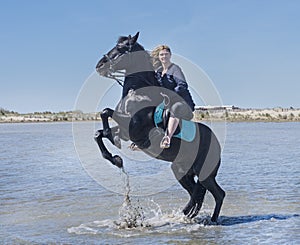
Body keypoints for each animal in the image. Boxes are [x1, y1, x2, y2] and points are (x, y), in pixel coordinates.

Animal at [94, 32, 225, 222]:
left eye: (120, 49)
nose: (99, 66)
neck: (138, 93)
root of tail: (218, 145)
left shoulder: (132, 127)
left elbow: (105, 112)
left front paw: (113, 146)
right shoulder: (126, 131)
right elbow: (98, 133)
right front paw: (115, 157)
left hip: (204, 173)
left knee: (216, 194)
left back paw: (210, 220)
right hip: (181, 170)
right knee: (197, 193)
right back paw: (189, 215)